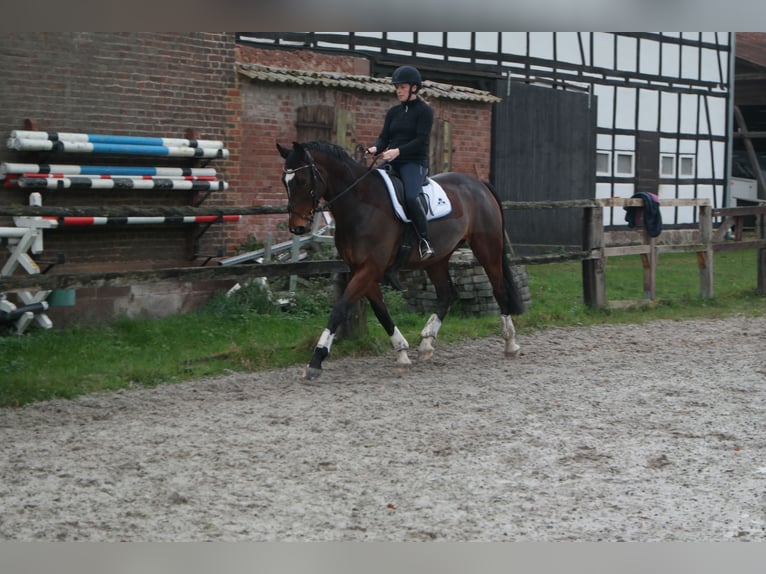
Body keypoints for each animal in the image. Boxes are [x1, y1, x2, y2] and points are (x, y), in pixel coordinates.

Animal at [280, 141, 524, 380]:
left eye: (302, 180)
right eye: (285, 181)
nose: (297, 227)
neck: (360, 204)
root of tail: (479, 184)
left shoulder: (370, 268)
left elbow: (340, 308)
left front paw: (316, 359)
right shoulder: (361, 269)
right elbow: (381, 312)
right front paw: (402, 353)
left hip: (487, 247)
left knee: (498, 289)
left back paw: (510, 343)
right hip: (437, 259)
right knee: (446, 294)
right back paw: (426, 344)